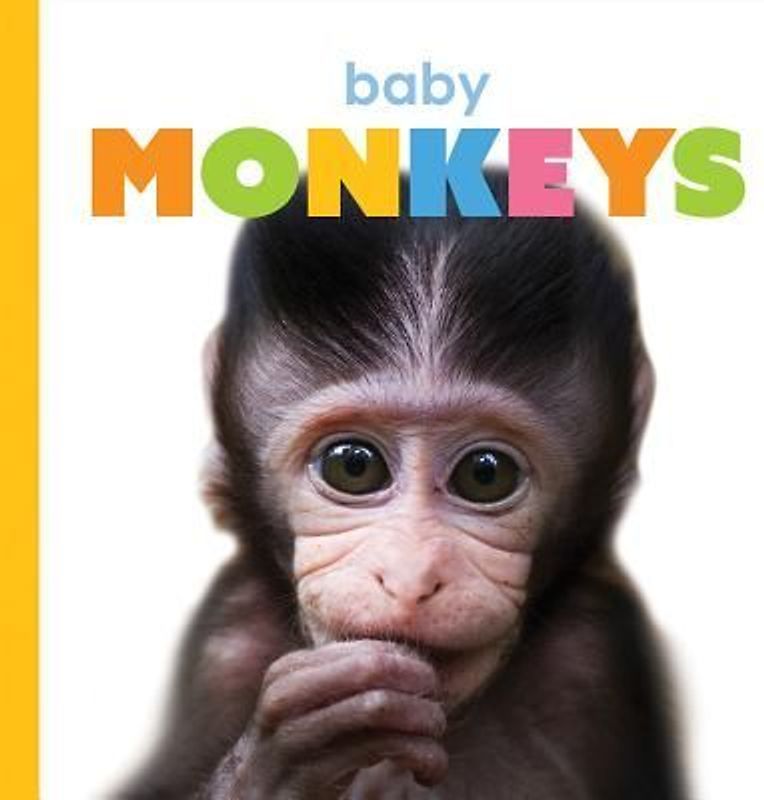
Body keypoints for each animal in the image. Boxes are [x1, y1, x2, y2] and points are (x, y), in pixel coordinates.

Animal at [118, 173, 688, 799]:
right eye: (353, 466)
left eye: (485, 474)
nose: (412, 579)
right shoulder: (225, 643)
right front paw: (285, 756)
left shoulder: (595, 661)